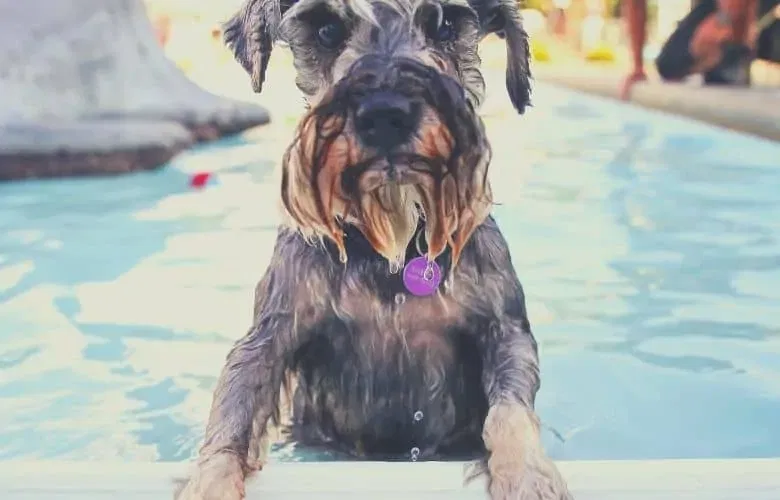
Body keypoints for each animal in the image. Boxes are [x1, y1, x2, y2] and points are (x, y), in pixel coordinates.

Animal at [177, 0, 572, 498]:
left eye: (446, 23)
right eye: (326, 29)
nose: (385, 113)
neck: (393, 248)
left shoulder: (505, 330)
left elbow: (510, 411)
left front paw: (528, 473)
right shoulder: (268, 336)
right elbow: (233, 410)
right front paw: (210, 480)